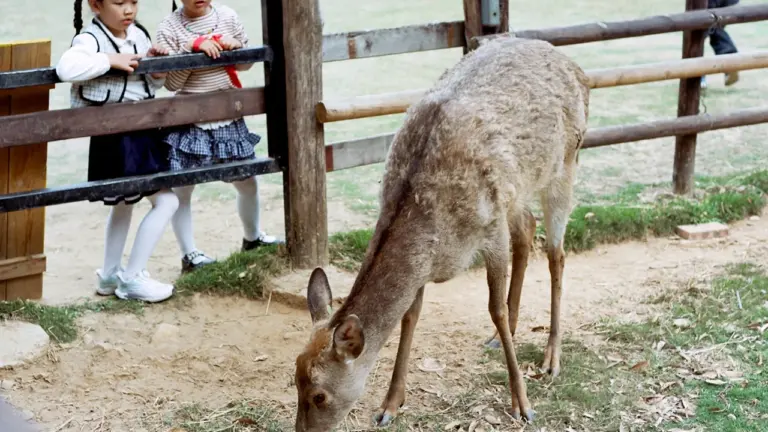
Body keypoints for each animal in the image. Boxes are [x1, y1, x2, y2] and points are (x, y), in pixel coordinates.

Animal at [293, 35, 590, 431]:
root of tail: (574, 66)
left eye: (320, 395)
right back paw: (501, 339)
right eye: (293, 379)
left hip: (565, 164)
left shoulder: (490, 228)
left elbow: (494, 307)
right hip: (517, 192)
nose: (301, 431)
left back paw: (551, 358)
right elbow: (410, 315)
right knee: (528, 227)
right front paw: (390, 404)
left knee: (556, 252)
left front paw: (522, 404)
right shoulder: (428, 258)